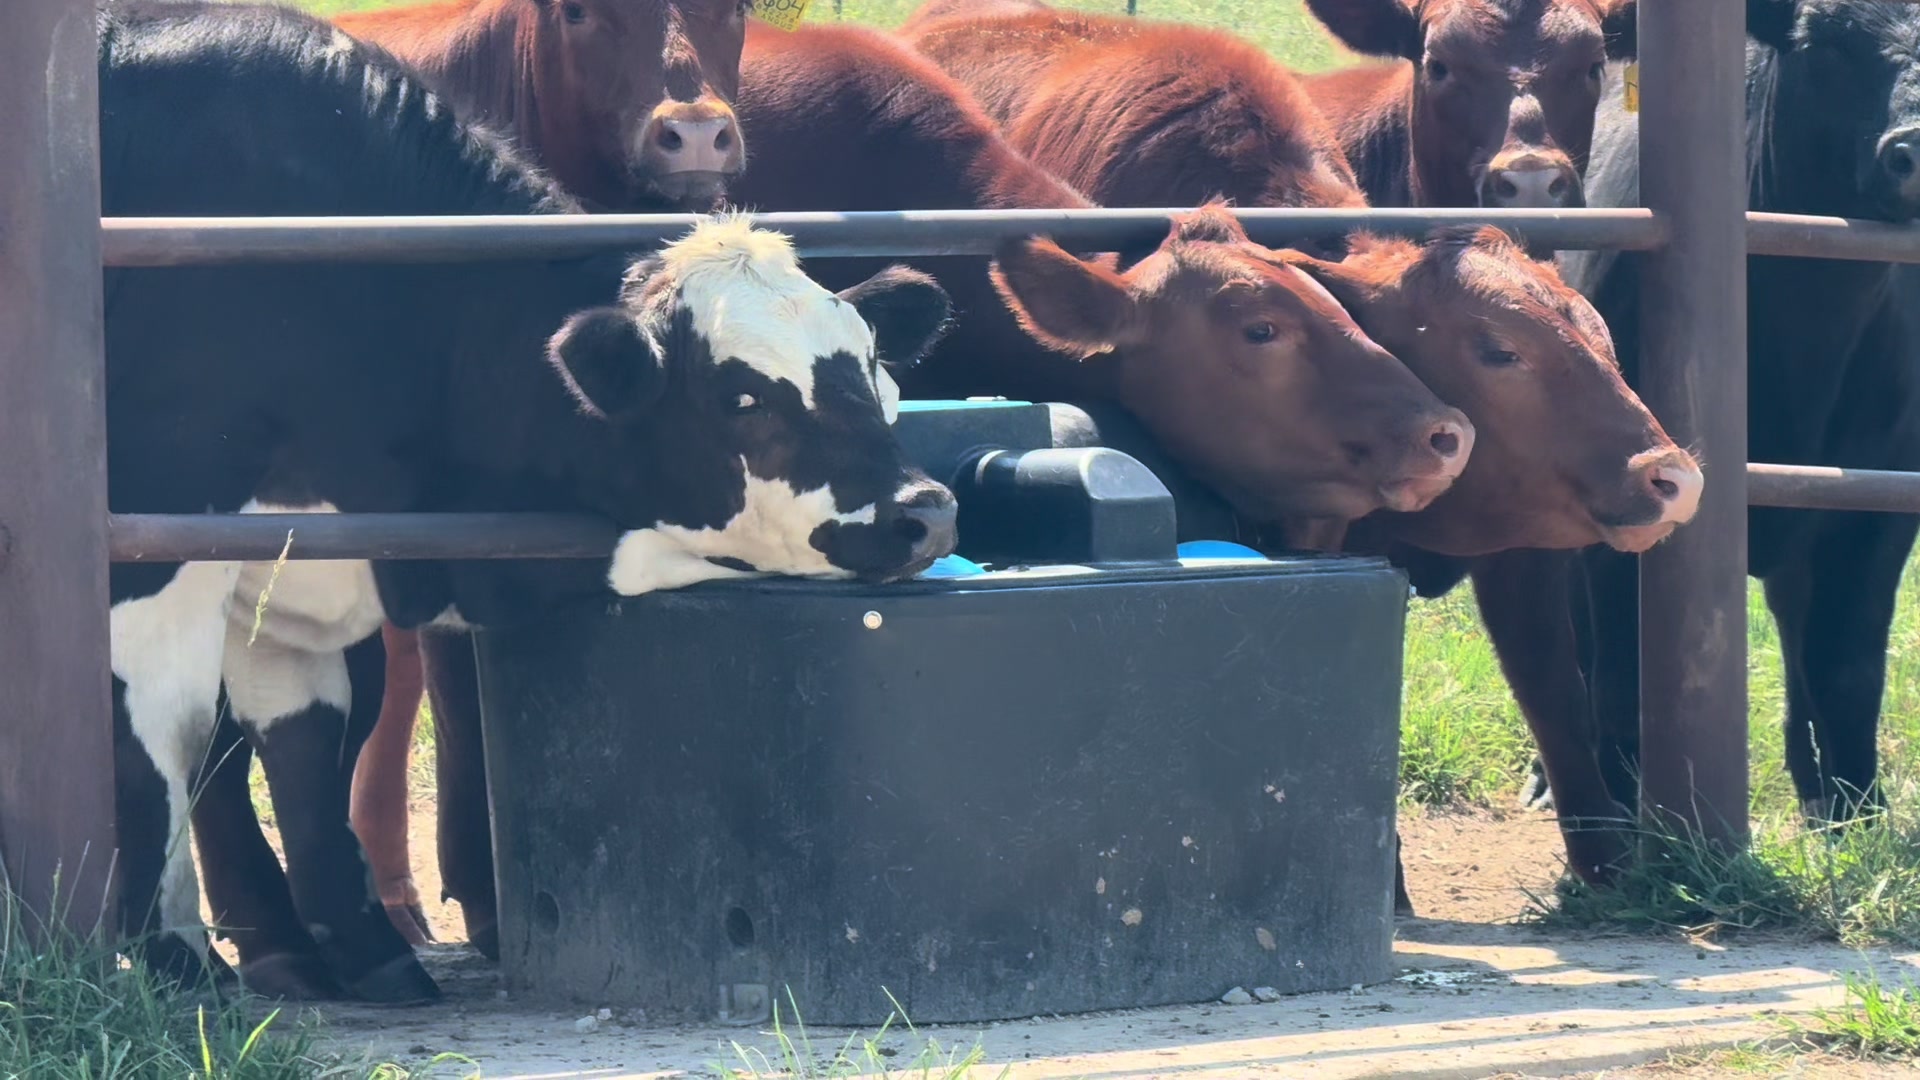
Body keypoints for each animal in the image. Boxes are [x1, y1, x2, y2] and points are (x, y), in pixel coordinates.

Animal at [99, 0, 957, 1004]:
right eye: (742, 399)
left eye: (870, 366)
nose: (924, 511)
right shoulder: (151, 541)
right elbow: (165, 737)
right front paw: (172, 961)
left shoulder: (295, 561)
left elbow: (311, 749)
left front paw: (368, 952)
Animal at [1519, 0, 1920, 847]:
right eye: (1825, 42)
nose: (1915, 149)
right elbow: (1619, 673)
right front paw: (1625, 825)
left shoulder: (1879, 505)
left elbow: (1847, 667)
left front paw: (1854, 817)